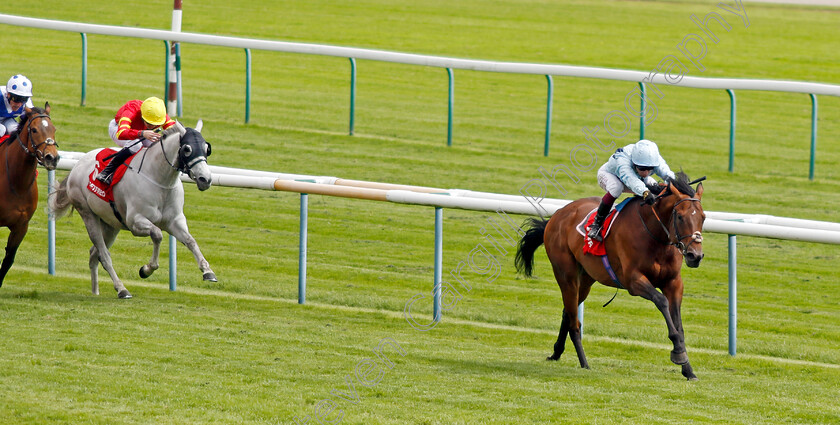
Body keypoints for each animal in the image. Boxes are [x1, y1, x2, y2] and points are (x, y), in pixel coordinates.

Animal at [49, 121, 217, 296]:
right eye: (187, 149)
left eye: (207, 148)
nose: (205, 179)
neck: (160, 180)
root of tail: (77, 165)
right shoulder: (135, 221)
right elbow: (157, 234)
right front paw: (146, 269)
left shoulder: (174, 220)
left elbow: (191, 241)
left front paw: (208, 272)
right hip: (88, 214)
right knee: (104, 254)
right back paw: (122, 289)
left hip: (110, 224)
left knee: (94, 254)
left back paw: (96, 292)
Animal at [516, 171, 704, 380]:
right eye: (679, 217)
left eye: (703, 217)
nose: (695, 256)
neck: (655, 236)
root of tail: (556, 216)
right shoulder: (633, 281)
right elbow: (661, 301)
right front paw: (678, 353)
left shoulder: (673, 282)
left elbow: (678, 322)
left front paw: (687, 368)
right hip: (566, 274)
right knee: (574, 321)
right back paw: (584, 363)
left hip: (586, 279)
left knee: (569, 311)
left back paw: (557, 352)